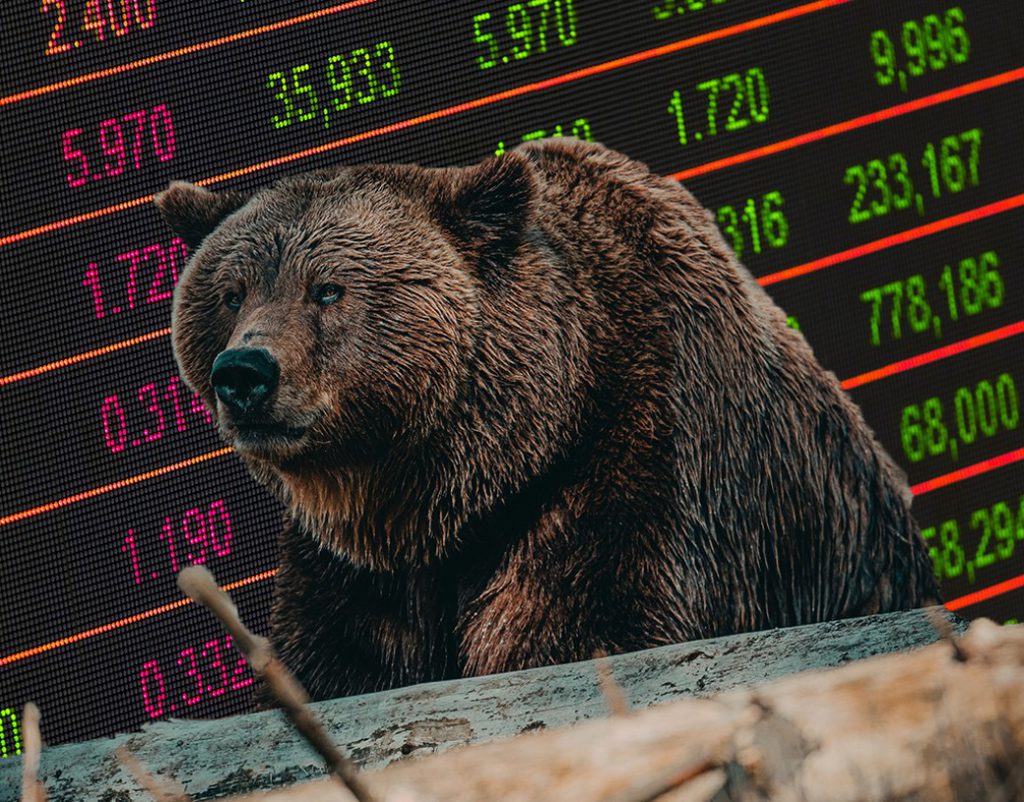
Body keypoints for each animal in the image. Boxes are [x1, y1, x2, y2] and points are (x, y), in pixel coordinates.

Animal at [155, 138, 940, 701]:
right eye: (230, 292)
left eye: (328, 289)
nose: (244, 373)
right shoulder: (355, 573)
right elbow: (335, 660)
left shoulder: (643, 465)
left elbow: (583, 626)